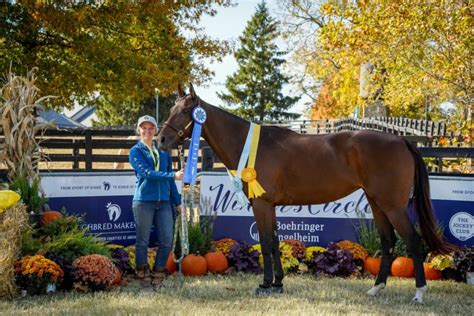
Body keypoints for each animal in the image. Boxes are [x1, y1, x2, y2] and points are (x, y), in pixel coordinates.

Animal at [158, 84, 452, 302]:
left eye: (187, 110)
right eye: (171, 108)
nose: (161, 140)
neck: (251, 146)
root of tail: (401, 140)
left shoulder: (261, 204)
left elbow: (265, 242)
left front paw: (265, 284)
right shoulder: (269, 206)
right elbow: (274, 241)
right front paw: (278, 283)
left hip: (393, 206)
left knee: (413, 242)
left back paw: (419, 293)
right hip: (377, 203)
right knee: (388, 241)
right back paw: (376, 288)